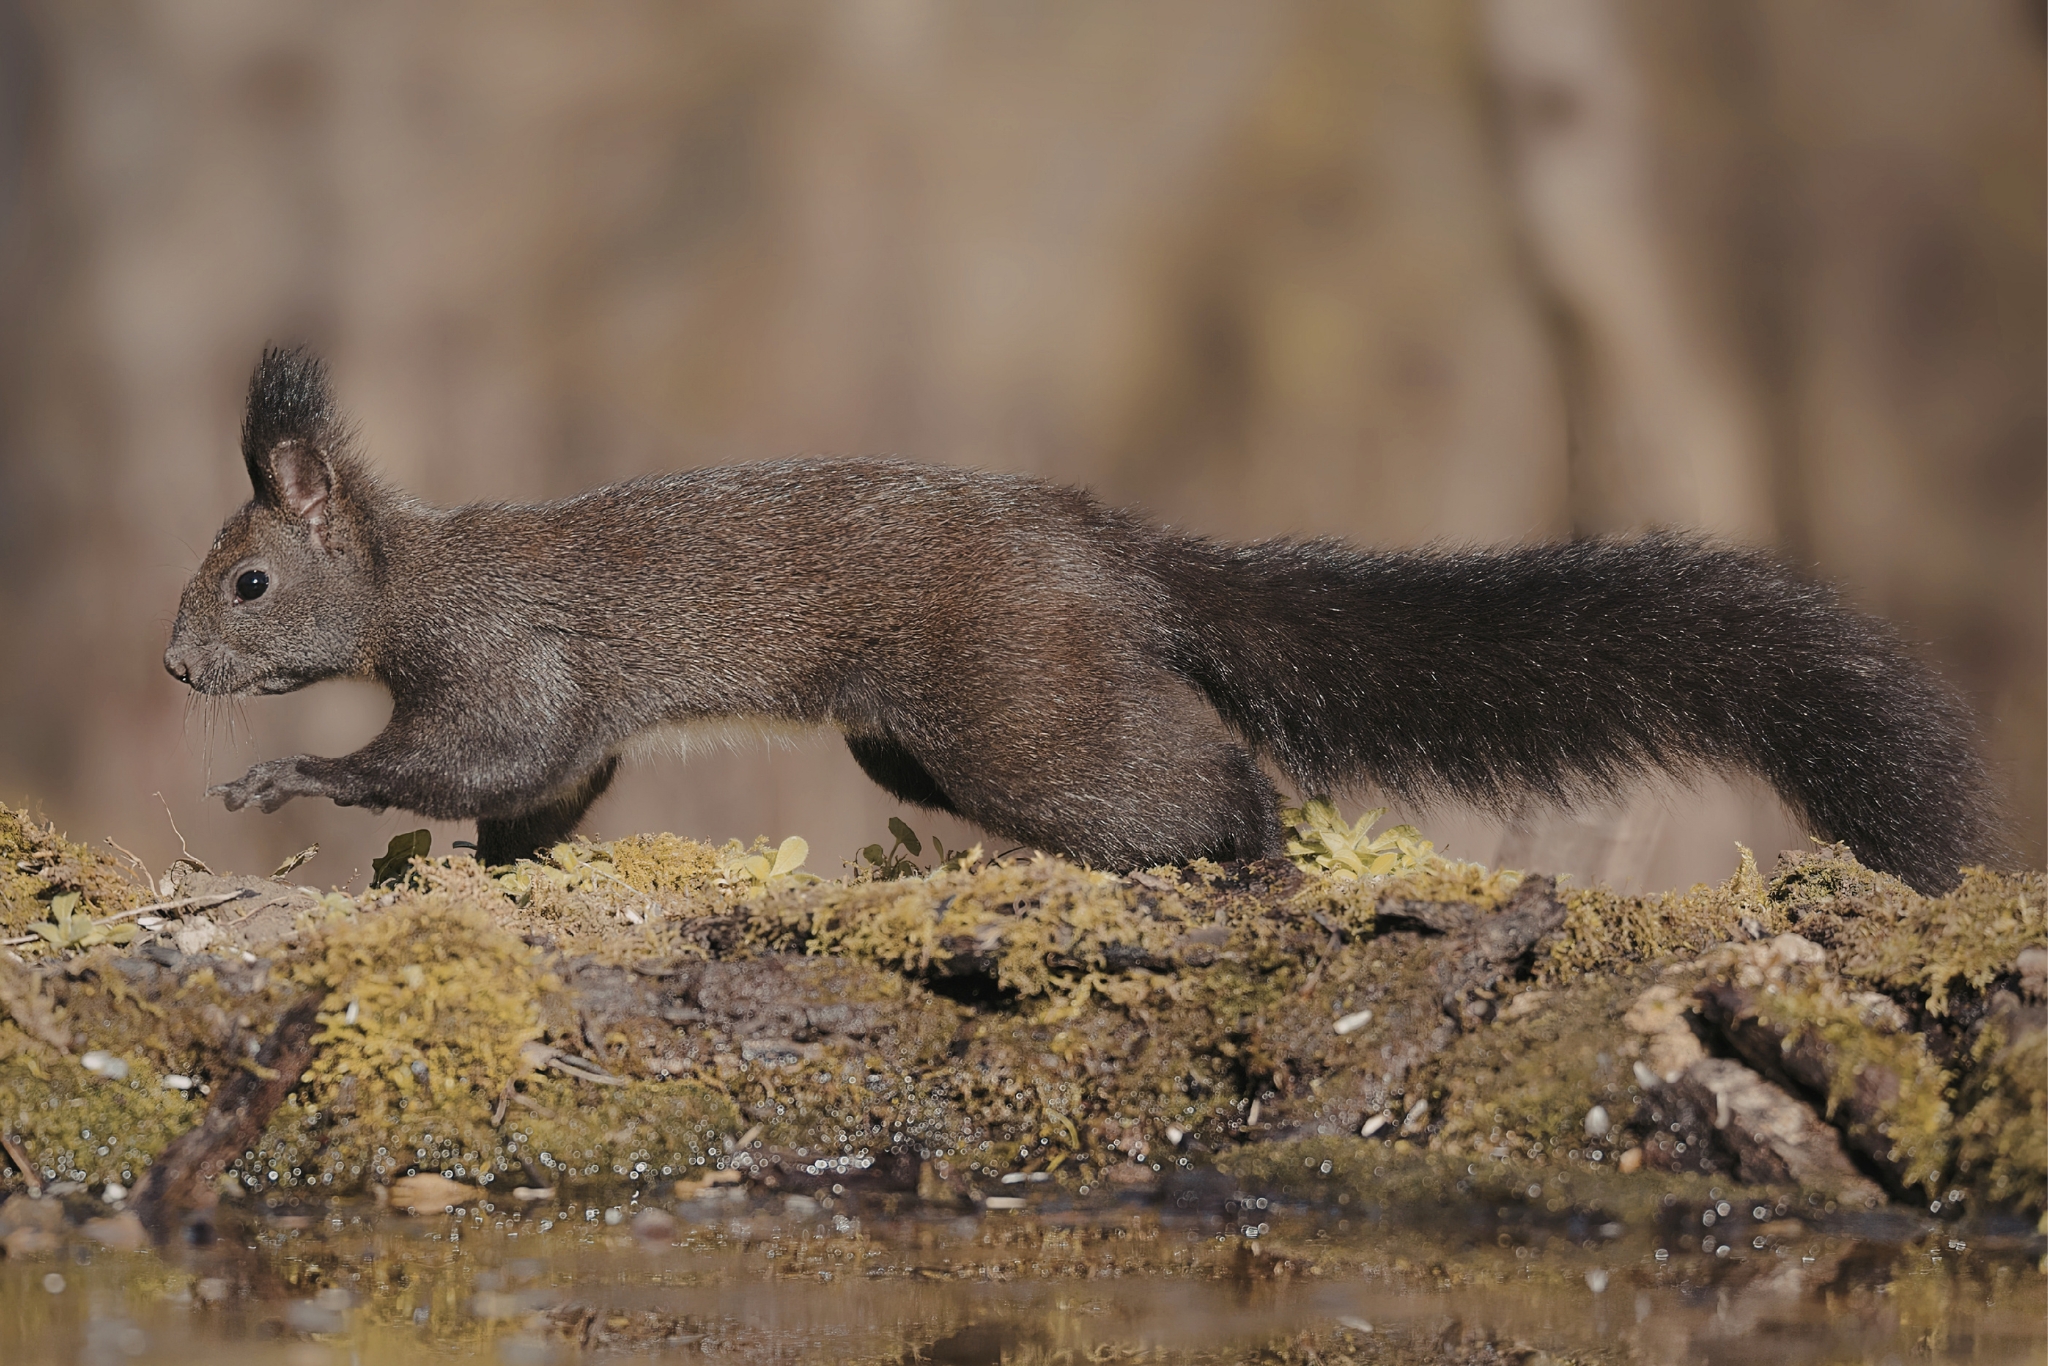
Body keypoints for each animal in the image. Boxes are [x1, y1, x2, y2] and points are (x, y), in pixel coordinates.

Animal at [165, 346, 1995, 891]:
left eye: (246, 580)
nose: (177, 665)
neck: (410, 576)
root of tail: (1116, 558)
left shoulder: (504, 661)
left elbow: (473, 756)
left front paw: (284, 783)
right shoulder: (569, 716)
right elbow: (542, 794)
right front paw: (481, 878)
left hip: (1016, 711)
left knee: (1204, 783)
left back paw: (1251, 855)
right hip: (923, 741)